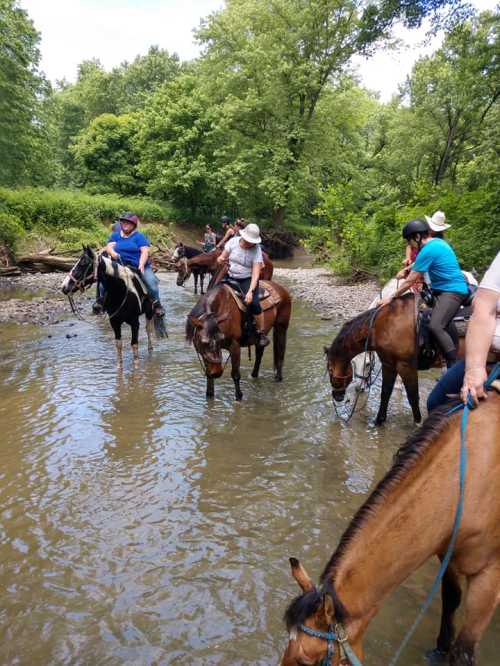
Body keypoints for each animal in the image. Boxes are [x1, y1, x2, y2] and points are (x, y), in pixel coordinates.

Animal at [280, 394, 500, 664]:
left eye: (307, 660)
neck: (465, 482)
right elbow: (451, 599)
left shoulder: (489, 577)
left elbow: (464, 649)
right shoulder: (446, 553)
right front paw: (440, 649)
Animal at [326, 294, 466, 422]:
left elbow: (413, 397)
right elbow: (385, 393)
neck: (385, 326)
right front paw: (379, 421)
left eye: (330, 370)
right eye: (353, 363)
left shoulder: (406, 367)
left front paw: (417, 422)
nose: (337, 396)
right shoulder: (389, 365)